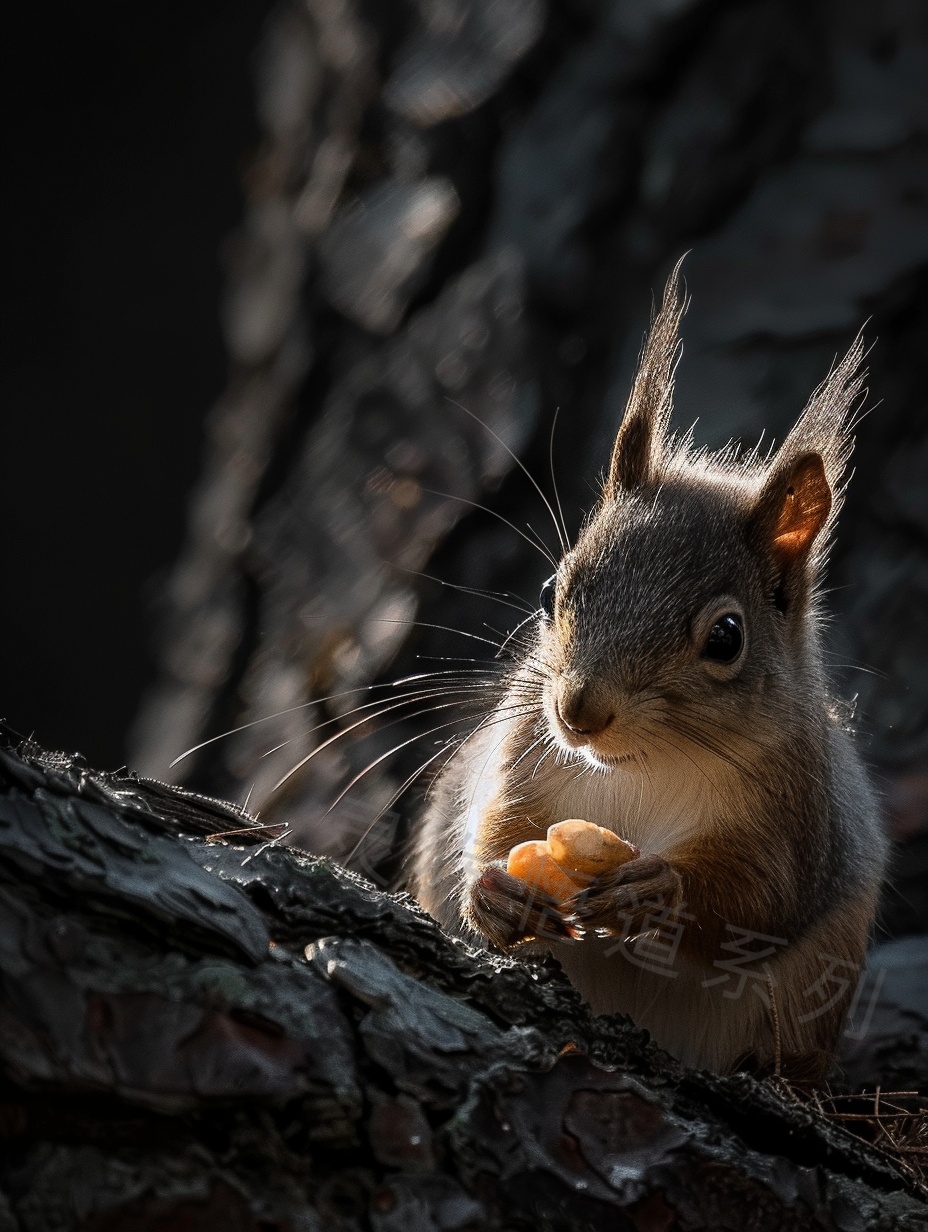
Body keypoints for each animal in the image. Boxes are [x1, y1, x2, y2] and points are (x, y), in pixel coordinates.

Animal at [409, 259, 887, 1079]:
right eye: (552, 591)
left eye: (727, 637)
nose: (579, 712)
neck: (638, 769)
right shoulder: (524, 757)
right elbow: (496, 820)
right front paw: (492, 893)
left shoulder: (795, 817)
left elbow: (759, 900)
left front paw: (655, 896)